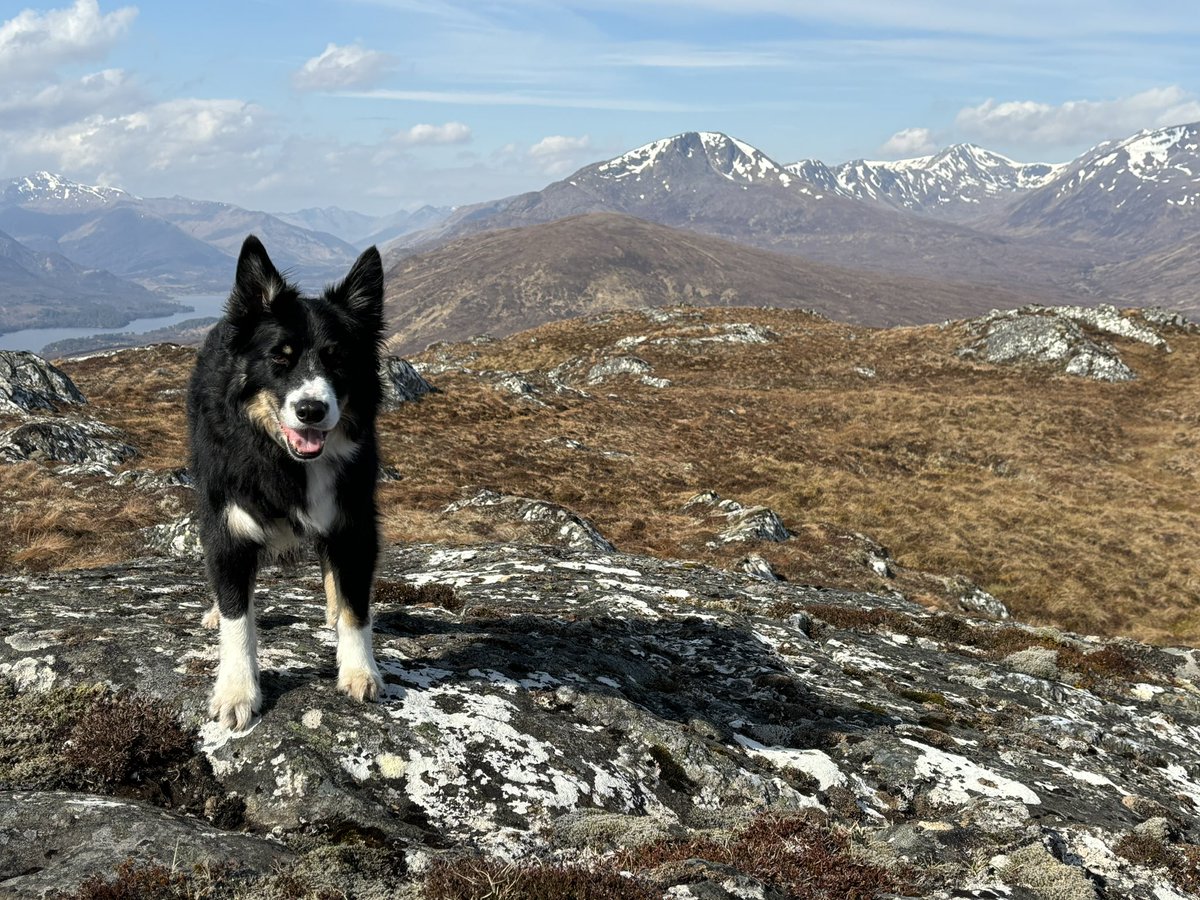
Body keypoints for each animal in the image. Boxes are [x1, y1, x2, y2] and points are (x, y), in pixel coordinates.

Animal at [188, 234, 384, 734]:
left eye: (338, 358)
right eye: (280, 356)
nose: (311, 410)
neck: (283, 457)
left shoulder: (354, 520)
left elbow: (356, 605)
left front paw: (359, 670)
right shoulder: (227, 525)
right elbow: (238, 620)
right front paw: (237, 691)